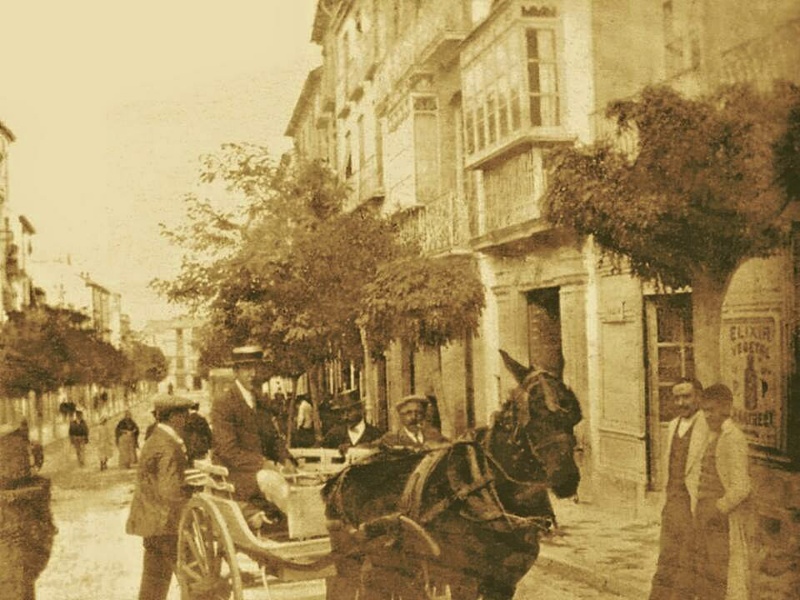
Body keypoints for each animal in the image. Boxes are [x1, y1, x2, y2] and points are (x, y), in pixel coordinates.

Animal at [320, 350, 580, 596]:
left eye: (574, 415)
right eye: (530, 412)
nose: (566, 477)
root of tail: (342, 474)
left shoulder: (504, 583)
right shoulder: (463, 580)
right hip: (348, 560)